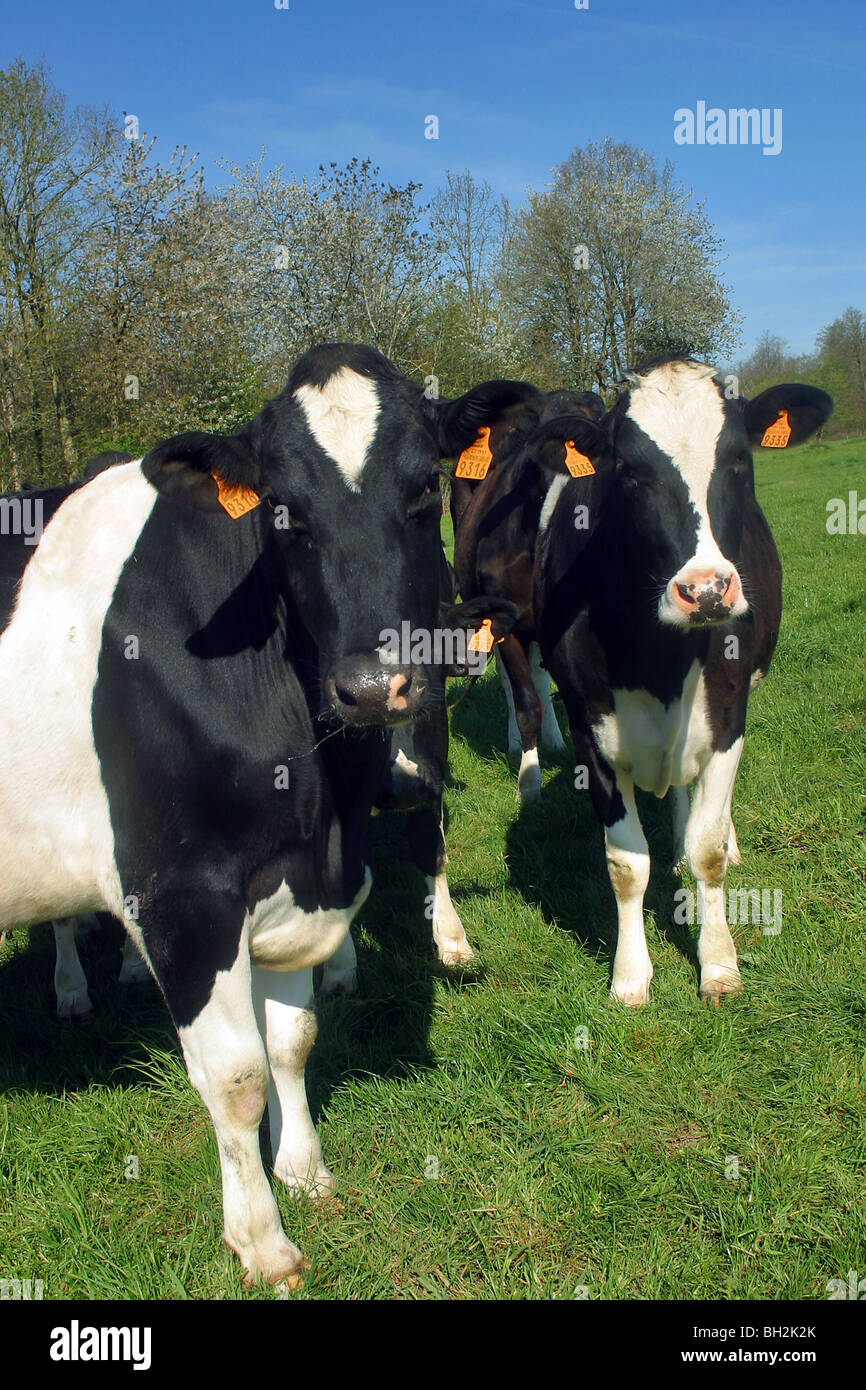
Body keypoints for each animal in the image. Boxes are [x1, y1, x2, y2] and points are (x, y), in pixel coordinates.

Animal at [0, 343, 528, 1283]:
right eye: (282, 510)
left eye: (428, 485)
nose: (373, 686)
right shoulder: (181, 896)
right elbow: (235, 1076)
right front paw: (262, 1240)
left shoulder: (298, 876)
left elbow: (293, 1039)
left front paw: (306, 1172)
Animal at [513, 358, 831, 1006]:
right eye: (630, 474)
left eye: (739, 460)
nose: (705, 590)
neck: (660, 661)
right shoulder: (591, 730)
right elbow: (627, 863)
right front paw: (631, 975)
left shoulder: (729, 719)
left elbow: (706, 850)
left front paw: (719, 963)